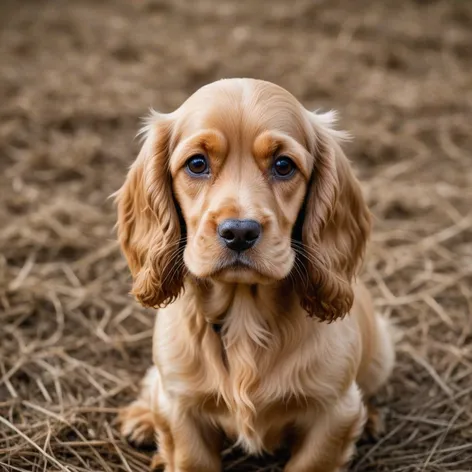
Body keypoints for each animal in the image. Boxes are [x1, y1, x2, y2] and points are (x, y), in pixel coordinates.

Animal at [115, 79, 394, 470]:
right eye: (197, 164)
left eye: (283, 165)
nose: (239, 232)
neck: (245, 313)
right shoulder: (181, 409)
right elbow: (191, 457)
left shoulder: (333, 413)